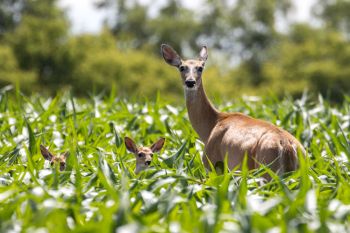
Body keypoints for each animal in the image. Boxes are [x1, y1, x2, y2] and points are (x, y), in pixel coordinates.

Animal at [161, 43, 304, 176]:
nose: (190, 82)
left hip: (265, 169)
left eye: (200, 68)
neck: (212, 125)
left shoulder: (212, 163)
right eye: (182, 67)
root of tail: (287, 147)